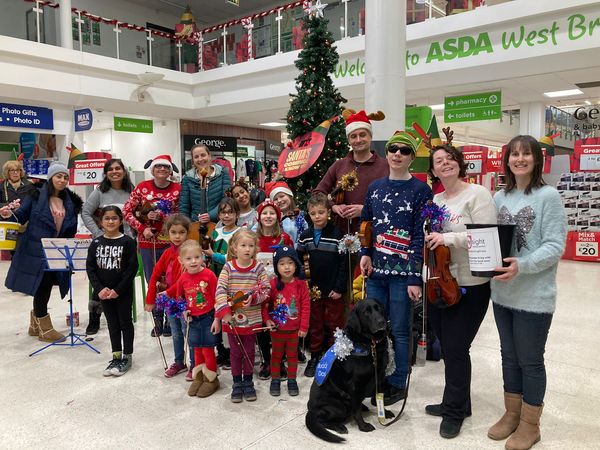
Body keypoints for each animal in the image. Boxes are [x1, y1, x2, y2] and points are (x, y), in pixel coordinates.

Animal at [304, 298, 394, 442]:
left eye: (379, 308)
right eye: (366, 312)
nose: (382, 322)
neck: (371, 345)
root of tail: (310, 411)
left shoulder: (379, 377)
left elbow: (378, 399)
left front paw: (384, 413)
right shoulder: (355, 385)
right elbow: (356, 410)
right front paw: (363, 426)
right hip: (338, 406)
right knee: (322, 420)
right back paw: (339, 427)